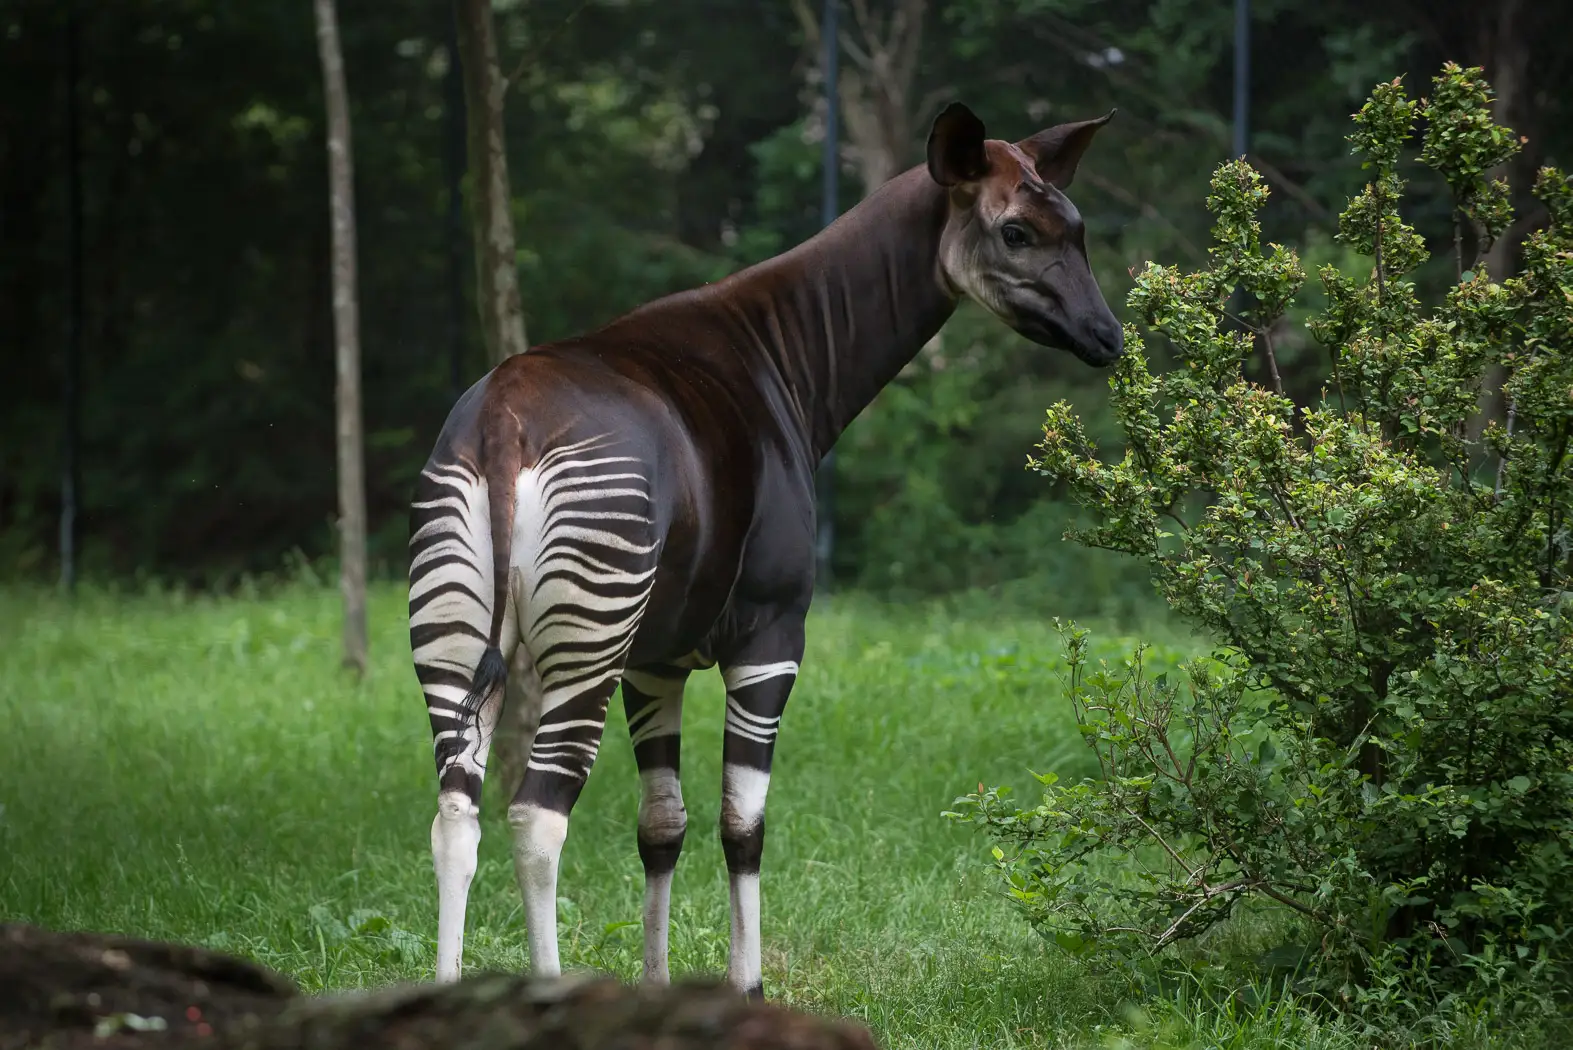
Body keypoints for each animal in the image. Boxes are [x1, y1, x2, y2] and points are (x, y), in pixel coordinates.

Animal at [407, 101, 1123, 997]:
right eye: (1017, 233)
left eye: (1080, 228)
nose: (1109, 336)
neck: (781, 356)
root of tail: (505, 423)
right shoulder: (771, 635)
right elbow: (742, 825)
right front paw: (746, 987)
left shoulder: (656, 657)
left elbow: (662, 825)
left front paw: (656, 988)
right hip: (582, 647)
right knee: (536, 817)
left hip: (455, 643)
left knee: (455, 815)